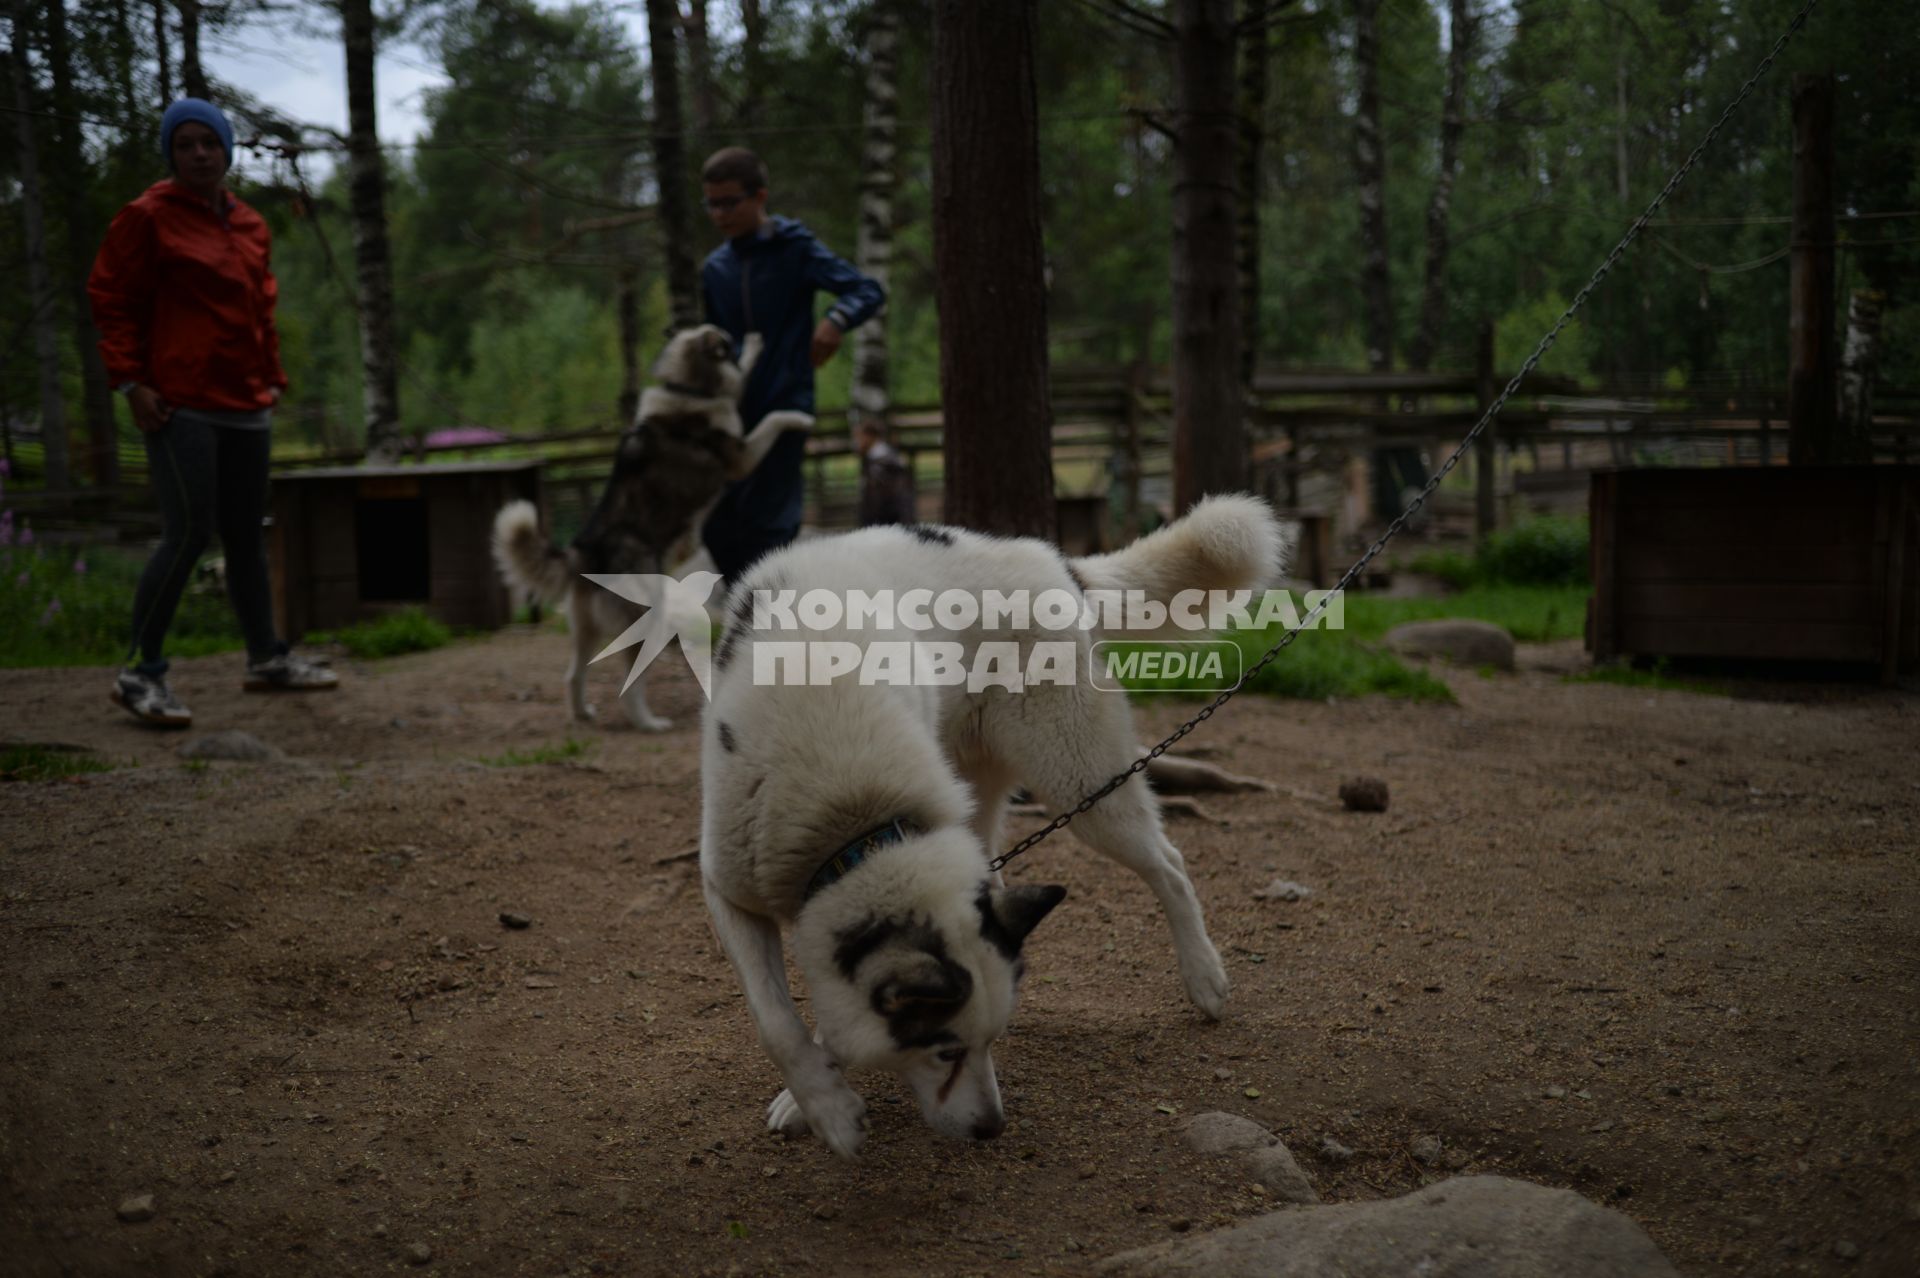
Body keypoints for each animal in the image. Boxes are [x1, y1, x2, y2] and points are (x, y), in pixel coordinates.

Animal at [695, 495, 1290, 1151]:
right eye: (946, 1051)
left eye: (985, 1044)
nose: (992, 1129)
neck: (848, 810)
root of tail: (1052, 560)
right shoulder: (729, 890)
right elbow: (777, 1021)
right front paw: (823, 1103)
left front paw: (823, 1102)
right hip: (982, 793)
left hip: (1082, 784)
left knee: (1170, 864)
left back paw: (1205, 978)